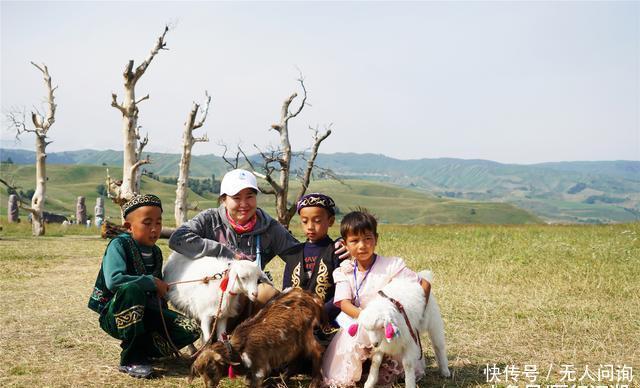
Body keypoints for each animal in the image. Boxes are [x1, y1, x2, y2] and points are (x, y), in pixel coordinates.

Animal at [189, 288, 324, 388]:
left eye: (212, 368)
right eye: (200, 373)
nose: (210, 386)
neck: (239, 349)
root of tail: (312, 297)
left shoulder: (259, 366)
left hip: (307, 333)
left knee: (317, 351)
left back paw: (314, 382)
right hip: (296, 342)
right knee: (297, 359)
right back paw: (281, 380)